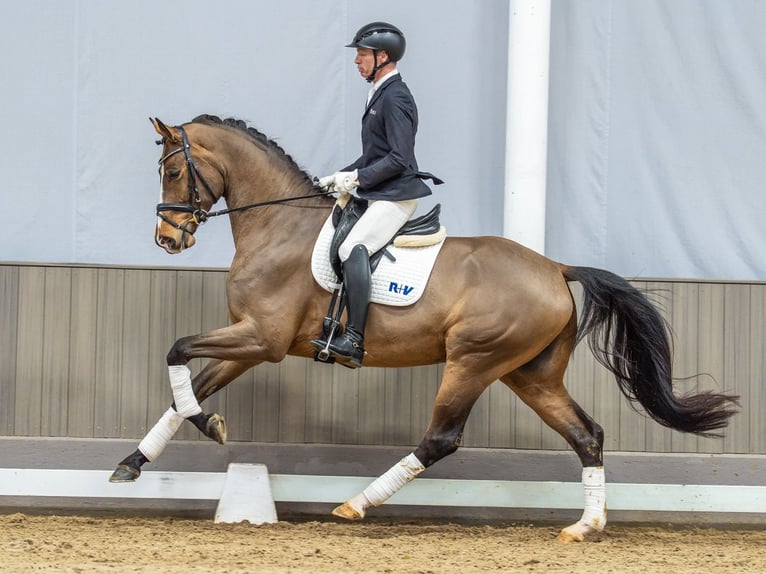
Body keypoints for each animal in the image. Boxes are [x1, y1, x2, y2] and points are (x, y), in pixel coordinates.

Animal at [109, 114, 738, 542]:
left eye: (172, 170)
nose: (167, 240)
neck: (278, 225)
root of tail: (555, 267)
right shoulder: (252, 338)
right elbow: (189, 387)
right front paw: (135, 462)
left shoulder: (263, 339)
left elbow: (176, 350)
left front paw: (208, 425)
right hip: (530, 374)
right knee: (587, 435)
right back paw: (586, 527)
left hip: (474, 361)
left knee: (441, 438)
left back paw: (356, 504)